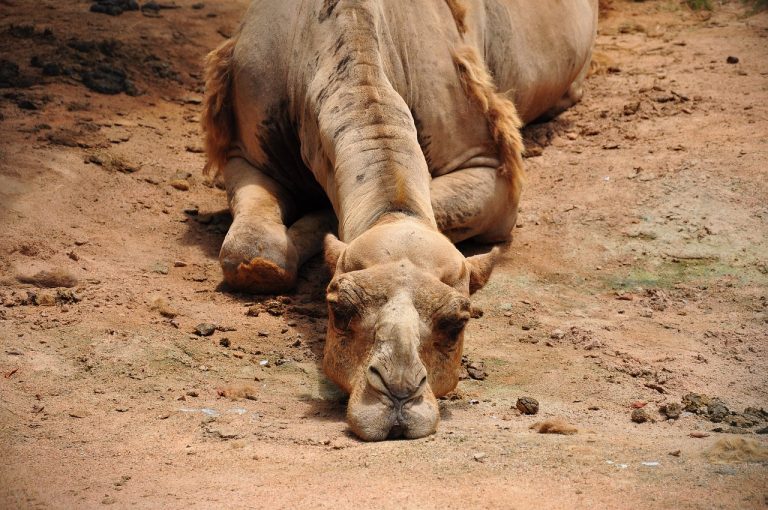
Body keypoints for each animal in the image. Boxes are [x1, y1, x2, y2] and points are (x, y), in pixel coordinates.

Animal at [202, 0, 598, 440]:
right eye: (338, 309)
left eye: (457, 323)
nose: (398, 394)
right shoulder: (244, 151)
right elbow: (253, 253)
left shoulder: (489, 168)